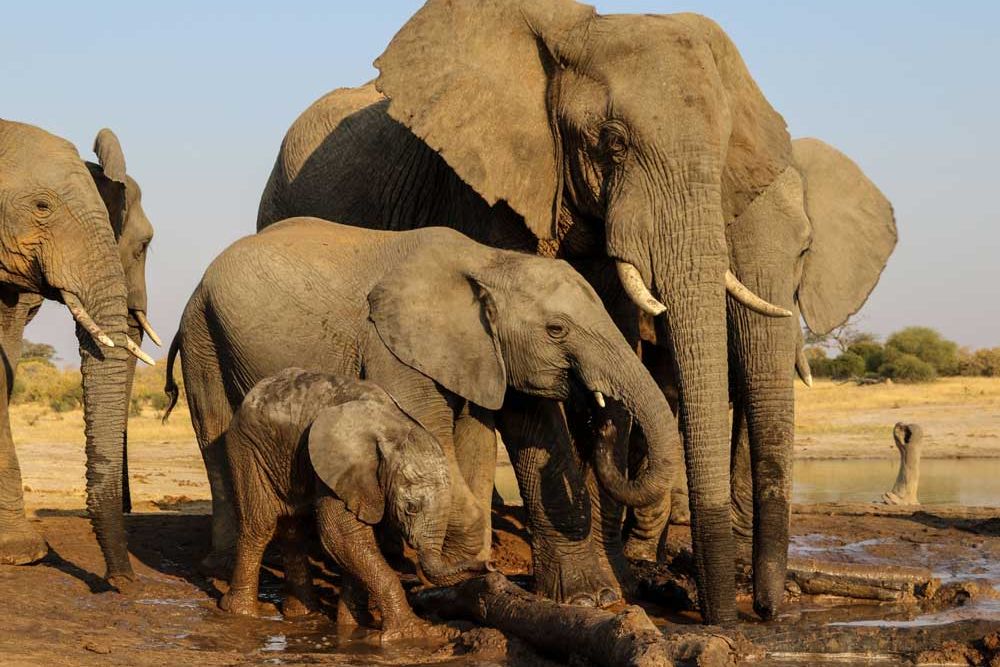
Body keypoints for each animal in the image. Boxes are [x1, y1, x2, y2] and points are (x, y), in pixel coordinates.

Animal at [163, 217, 681, 608]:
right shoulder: (390, 348)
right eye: (557, 329)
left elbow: (507, 434)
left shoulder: (485, 352)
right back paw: (220, 565)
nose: (601, 411)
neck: (488, 262)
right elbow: (432, 435)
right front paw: (465, 570)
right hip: (203, 336)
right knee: (214, 436)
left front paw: (590, 601)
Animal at [221, 368, 488, 642]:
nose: (487, 566)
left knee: (293, 528)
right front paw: (412, 634)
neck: (393, 428)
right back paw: (241, 614)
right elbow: (341, 535)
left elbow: (357, 539)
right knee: (260, 525)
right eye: (411, 508)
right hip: (247, 447)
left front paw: (354, 626)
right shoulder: (340, 468)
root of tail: (256, 390)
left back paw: (303, 614)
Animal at [253, 0, 832, 621]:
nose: (753, 614)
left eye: (722, 154)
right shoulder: (481, 189)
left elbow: (613, 333)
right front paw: (587, 597)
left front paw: (623, 586)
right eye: (613, 142)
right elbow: (523, 389)